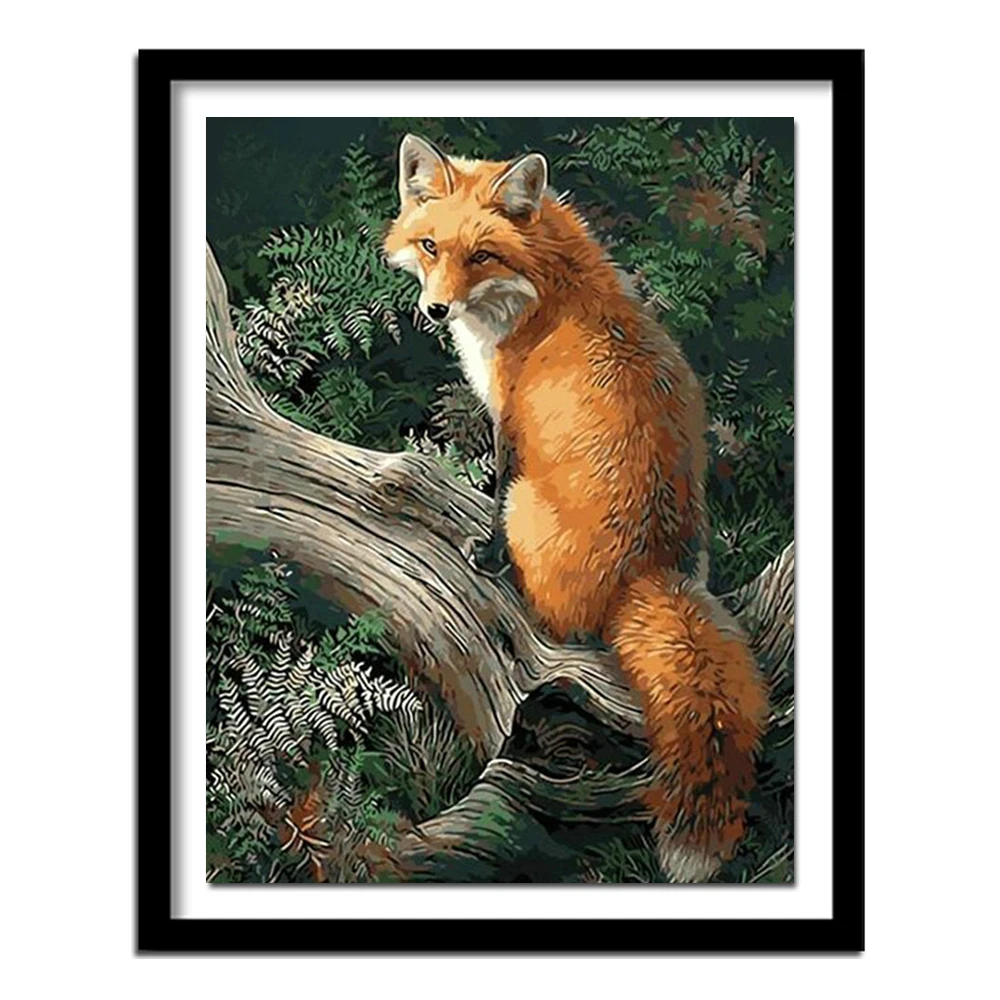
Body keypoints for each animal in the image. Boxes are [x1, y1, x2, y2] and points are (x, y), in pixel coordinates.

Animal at [384, 133, 769, 882]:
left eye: (482, 255)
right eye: (430, 246)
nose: (435, 311)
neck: (548, 287)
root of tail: (648, 574)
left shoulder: (509, 421)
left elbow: (494, 491)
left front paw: (485, 555)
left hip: (530, 508)